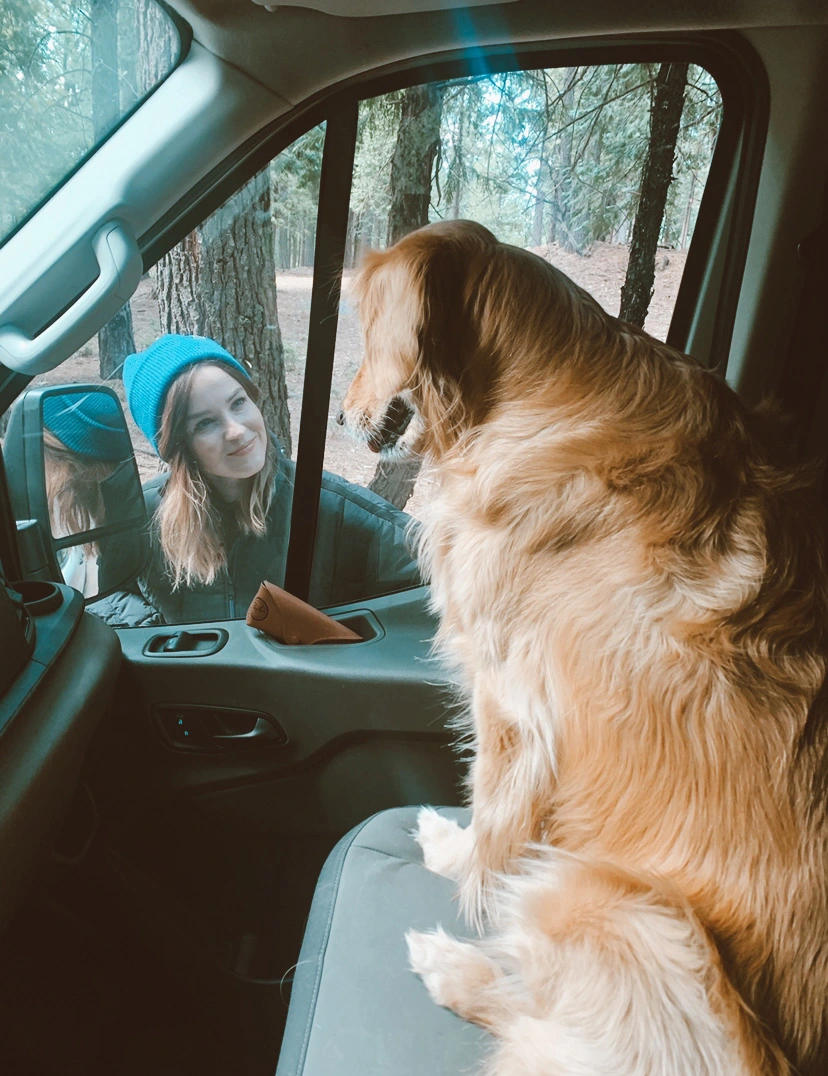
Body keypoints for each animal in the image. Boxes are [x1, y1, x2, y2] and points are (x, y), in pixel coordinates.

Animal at [339, 218, 825, 1076]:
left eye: (363, 325)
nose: (338, 416)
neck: (533, 403)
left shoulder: (510, 703)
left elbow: (491, 815)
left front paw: (457, 859)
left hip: (609, 900)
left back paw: (452, 965)